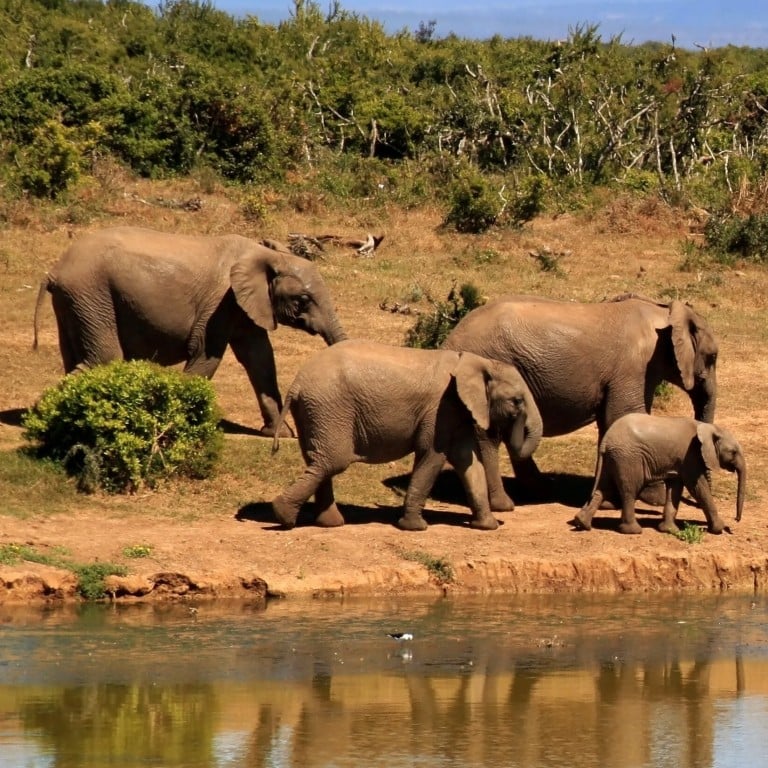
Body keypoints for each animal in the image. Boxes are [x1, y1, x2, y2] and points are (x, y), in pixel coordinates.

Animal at [33, 226, 347, 435]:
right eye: (303, 300)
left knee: (78, 359)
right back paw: (47, 414)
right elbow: (207, 355)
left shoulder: (246, 306)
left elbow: (260, 358)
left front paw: (279, 435)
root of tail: (54, 271)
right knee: (104, 358)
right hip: (91, 294)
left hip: (76, 302)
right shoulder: (221, 303)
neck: (266, 255)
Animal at [270, 340, 543, 531]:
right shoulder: (440, 409)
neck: (477, 362)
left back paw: (328, 523)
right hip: (329, 408)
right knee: (332, 461)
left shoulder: (456, 411)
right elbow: (433, 456)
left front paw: (487, 526)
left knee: (319, 461)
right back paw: (283, 515)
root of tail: (296, 384)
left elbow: (468, 461)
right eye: (517, 401)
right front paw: (415, 528)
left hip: (315, 412)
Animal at [442, 293, 719, 510]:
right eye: (713, 356)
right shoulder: (634, 367)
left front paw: (609, 500)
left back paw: (541, 490)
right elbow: (624, 415)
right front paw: (654, 499)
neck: (663, 312)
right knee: (488, 435)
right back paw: (505, 504)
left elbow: (611, 423)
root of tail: (449, 340)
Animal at [573, 413, 745, 534]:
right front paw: (719, 528)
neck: (709, 427)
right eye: (733, 452)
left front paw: (669, 530)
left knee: (602, 489)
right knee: (629, 491)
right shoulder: (690, 456)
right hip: (627, 458)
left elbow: (675, 488)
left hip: (612, 458)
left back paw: (582, 523)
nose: (736, 520)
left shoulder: (680, 461)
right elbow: (698, 488)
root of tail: (605, 440)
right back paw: (633, 531)